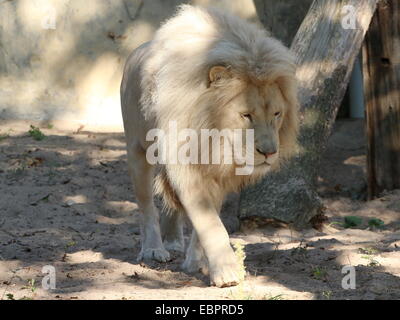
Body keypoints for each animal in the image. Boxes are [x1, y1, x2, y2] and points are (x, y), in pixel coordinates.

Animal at [120, 5, 298, 286]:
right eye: (246, 115)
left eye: (277, 114)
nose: (269, 152)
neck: (214, 138)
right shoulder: (186, 164)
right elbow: (210, 223)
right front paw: (226, 272)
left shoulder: (218, 174)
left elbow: (204, 219)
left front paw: (196, 261)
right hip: (138, 150)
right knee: (146, 205)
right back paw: (153, 249)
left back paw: (174, 243)